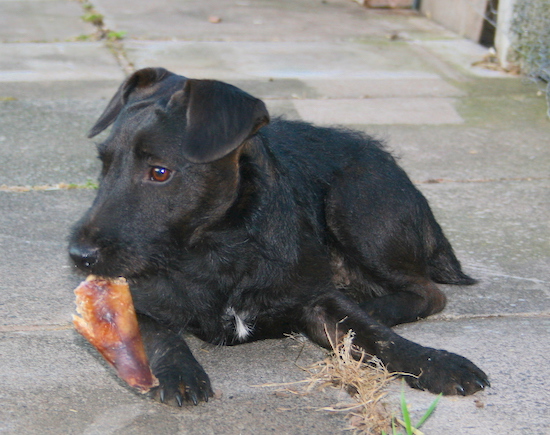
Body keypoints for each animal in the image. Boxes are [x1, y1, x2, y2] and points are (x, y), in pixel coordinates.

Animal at [70, 66, 492, 408]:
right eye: (104, 165)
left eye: (159, 172)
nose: (78, 255)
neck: (222, 250)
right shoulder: (134, 303)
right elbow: (160, 335)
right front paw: (180, 371)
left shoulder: (316, 300)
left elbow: (381, 338)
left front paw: (434, 362)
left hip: (354, 206)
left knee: (428, 292)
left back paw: (378, 307)